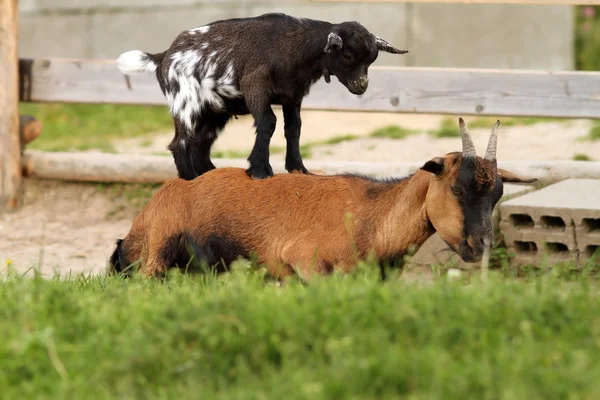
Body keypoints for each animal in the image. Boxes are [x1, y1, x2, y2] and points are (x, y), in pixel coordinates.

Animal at [110, 118, 536, 282]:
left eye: (497, 193)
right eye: (457, 189)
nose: (481, 245)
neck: (371, 216)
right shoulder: (302, 258)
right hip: (160, 246)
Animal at [117, 12, 408, 180]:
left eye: (372, 59)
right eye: (347, 56)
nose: (362, 86)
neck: (296, 47)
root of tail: (163, 57)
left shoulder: (293, 95)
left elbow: (294, 128)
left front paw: (298, 168)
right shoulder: (255, 87)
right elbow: (268, 122)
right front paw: (259, 171)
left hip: (214, 111)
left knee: (201, 142)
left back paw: (207, 174)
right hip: (186, 104)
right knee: (180, 142)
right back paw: (189, 178)